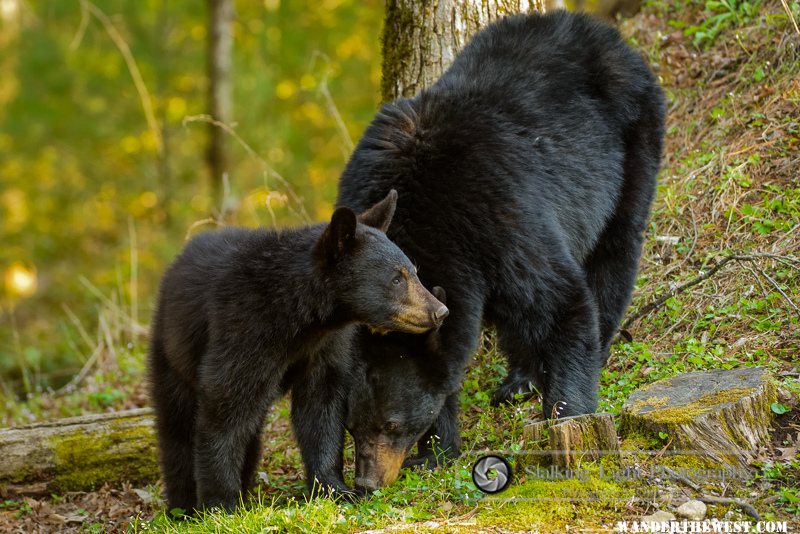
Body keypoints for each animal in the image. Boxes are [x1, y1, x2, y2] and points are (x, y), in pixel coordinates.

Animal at [148, 191, 450, 512]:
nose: (439, 311)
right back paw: (182, 505)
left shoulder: (326, 346)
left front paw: (335, 488)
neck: (301, 316)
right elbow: (225, 406)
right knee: (177, 425)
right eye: (396, 278)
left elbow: (321, 406)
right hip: (172, 352)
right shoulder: (242, 327)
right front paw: (222, 505)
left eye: (414, 271)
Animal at [334, 10, 664, 492]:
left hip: (633, 138)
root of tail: (596, 27)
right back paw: (520, 379)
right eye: (352, 427)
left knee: (615, 249)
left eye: (392, 423)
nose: (366, 484)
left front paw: (567, 417)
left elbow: (560, 299)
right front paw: (437, 452)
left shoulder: (500, 215)